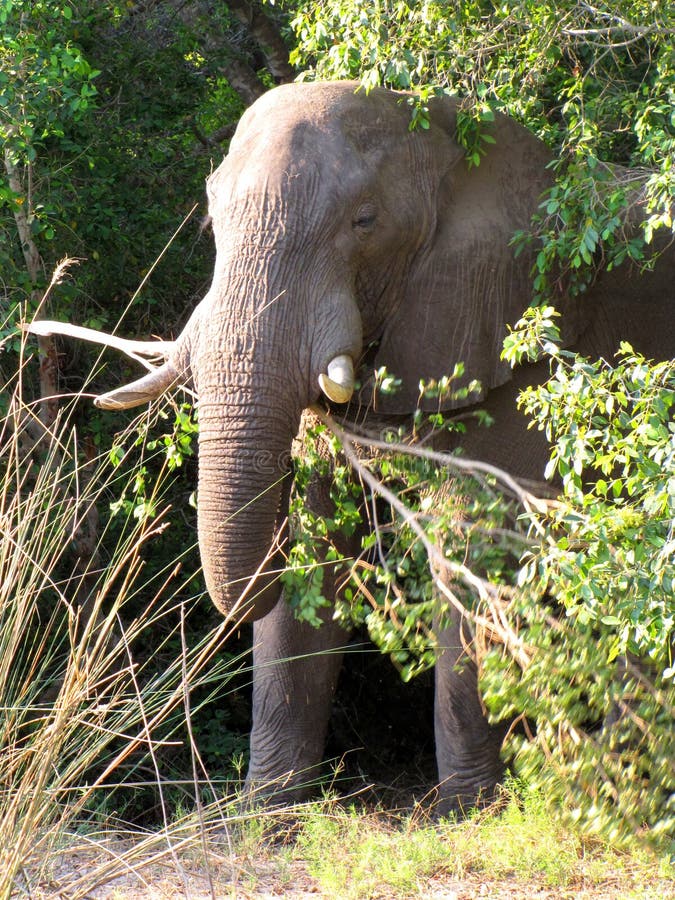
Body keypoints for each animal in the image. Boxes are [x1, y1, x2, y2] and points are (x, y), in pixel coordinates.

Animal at [90, 82, 675, 816]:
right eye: (211, 220)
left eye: (363, 222)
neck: (451, 138)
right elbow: (315, 542)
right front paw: (265, 815)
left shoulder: (516, 339)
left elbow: (471, 548)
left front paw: (463, 812)